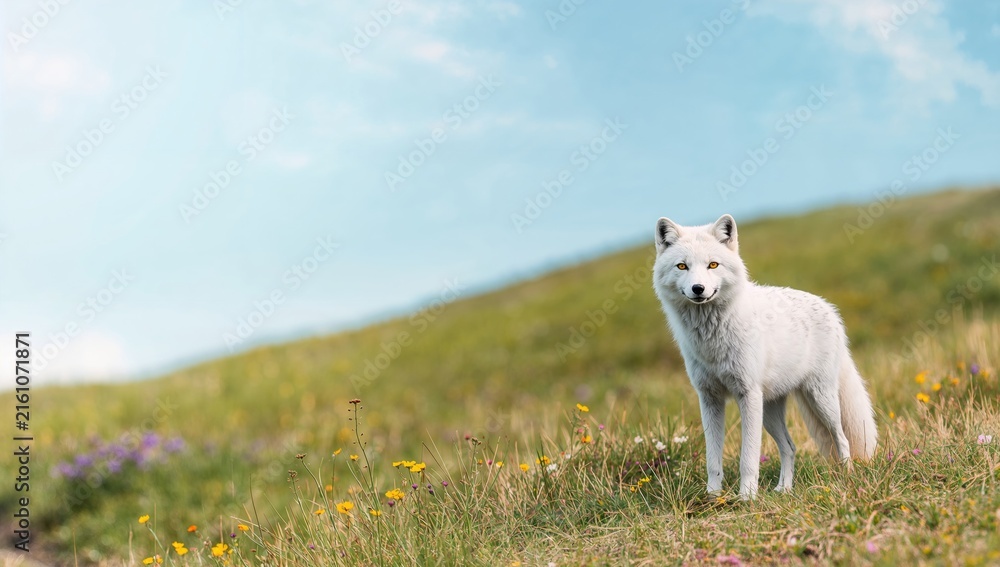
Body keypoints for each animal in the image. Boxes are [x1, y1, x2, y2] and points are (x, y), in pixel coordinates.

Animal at [652, 214, 877, 500]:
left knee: (842, 438)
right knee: (790, 447)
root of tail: (829, 308)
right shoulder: (709, 398)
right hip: (770, 412)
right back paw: (784, 489)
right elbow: (713, 459)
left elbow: (748, 458)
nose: (698, 288)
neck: (711, 340)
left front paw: (747, 497)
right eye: (682, 266)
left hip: (820, 400)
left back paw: (846, 478)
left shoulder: (747, 394)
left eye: (713, 264)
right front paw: (713, 497)